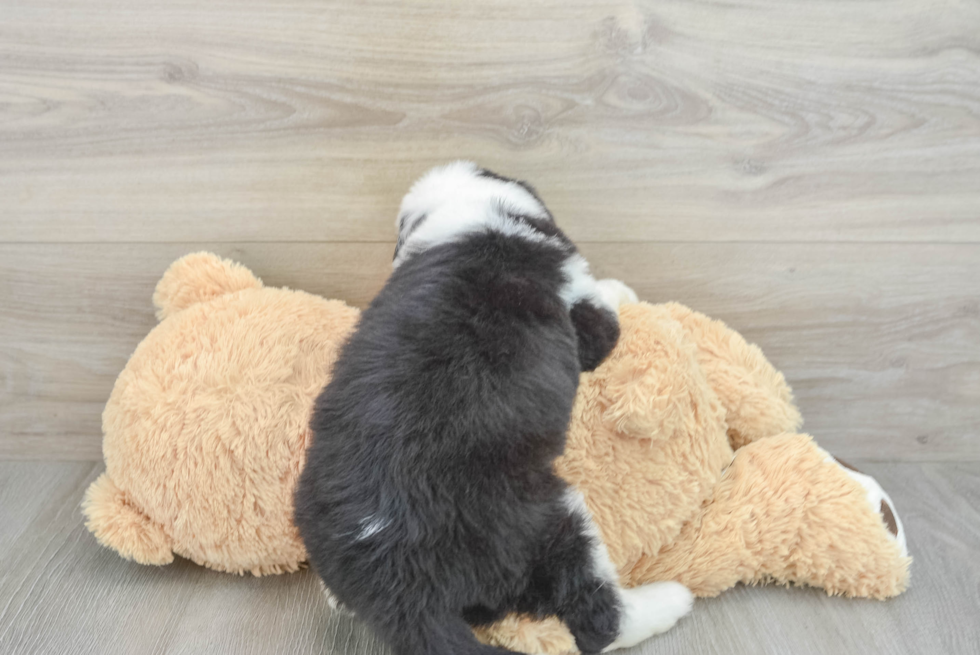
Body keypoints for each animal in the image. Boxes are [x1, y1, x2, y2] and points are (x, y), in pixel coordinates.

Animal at [294, 160, 692, 655]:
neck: (474, 216)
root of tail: (405, 589)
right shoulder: (581, 308)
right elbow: (604, 307)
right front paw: (624, 289)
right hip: (548, 522)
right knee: (598, 616)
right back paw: (669, 600)